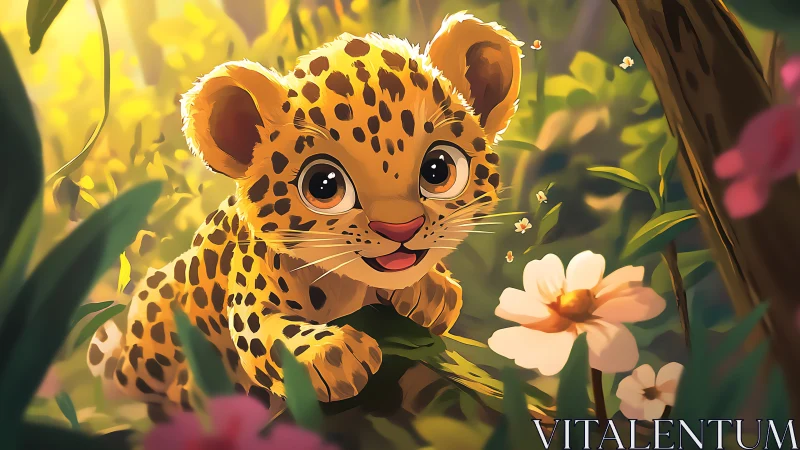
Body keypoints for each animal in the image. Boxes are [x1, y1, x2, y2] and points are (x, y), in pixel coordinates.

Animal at [86, 11, 522, 421]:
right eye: (324, 185)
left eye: (438, 169)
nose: (401, 229)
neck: (348, 286)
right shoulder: (249, 300)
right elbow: (270, 332)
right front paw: (331, 354)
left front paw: (432, 291)